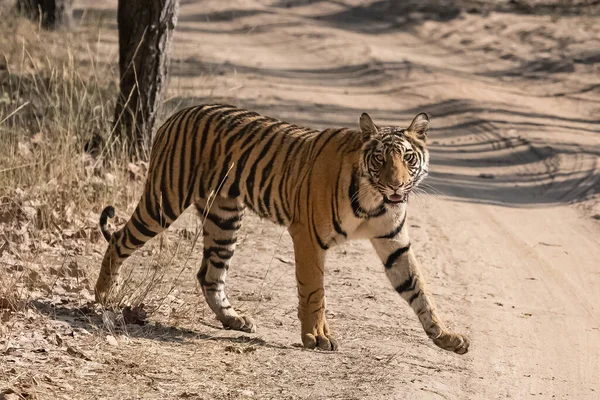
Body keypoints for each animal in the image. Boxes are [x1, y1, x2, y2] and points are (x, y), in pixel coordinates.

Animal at [95, 104, 468, 354]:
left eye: (408, 158)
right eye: (380, 159)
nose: (396, 186)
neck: (374, 200)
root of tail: (176, 114)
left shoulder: (394, 243)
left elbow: (419, 290)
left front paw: (446, 337)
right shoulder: (307, 236)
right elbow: (315, 292)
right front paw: (316, 337)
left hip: (225, 218)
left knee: (209, 274)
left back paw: (235, 320)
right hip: (165, 201)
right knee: (118, 240)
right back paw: (103, 296)